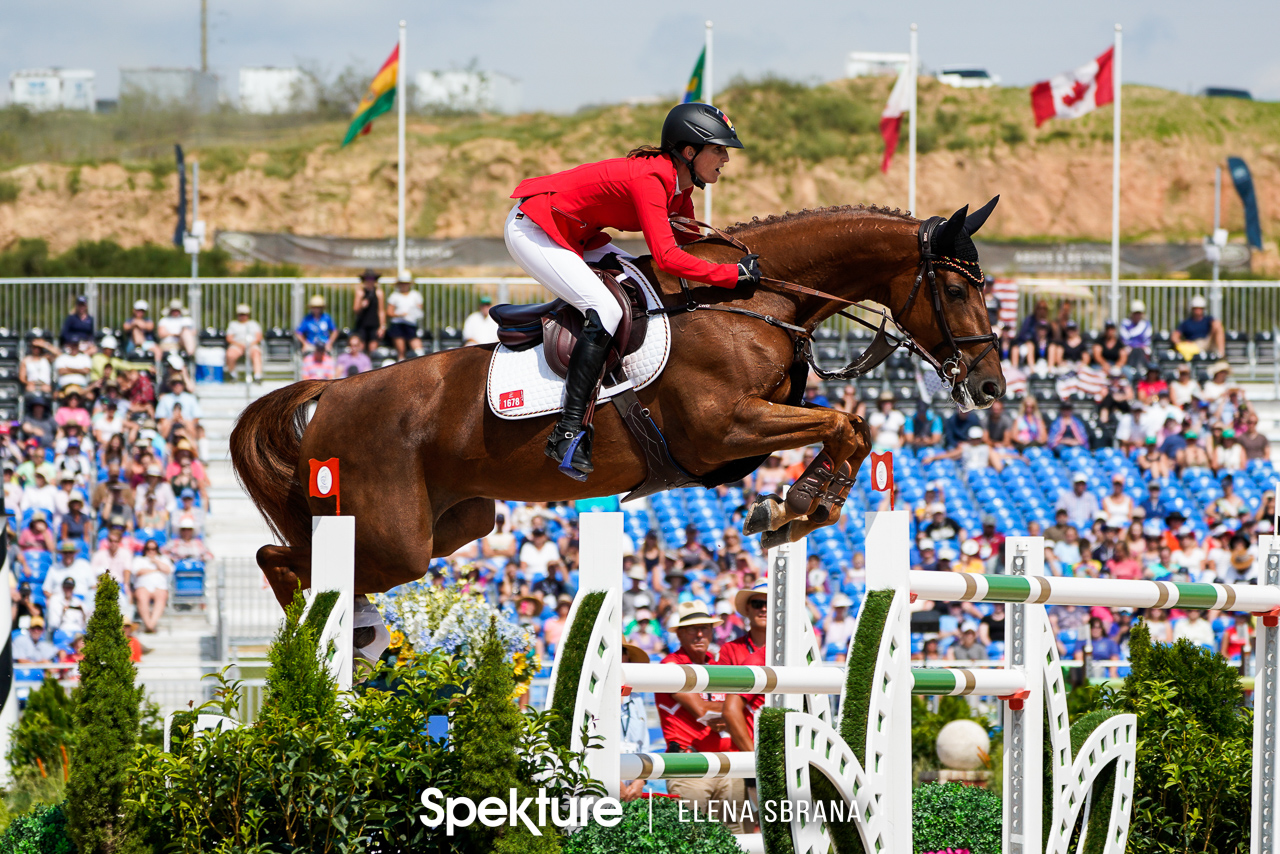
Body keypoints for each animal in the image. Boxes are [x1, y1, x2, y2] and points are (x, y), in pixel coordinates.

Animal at [232, 202, 1008, 606]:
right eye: (957, 289)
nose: (992, 388)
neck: (751, 299)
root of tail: (334, 392)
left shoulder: (740, 438)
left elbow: (852, 425)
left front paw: (801, 508)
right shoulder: (721, 430)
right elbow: (848, 422)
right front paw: (795, 504)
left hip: (451, 524)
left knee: (298, 557)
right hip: (389, 536)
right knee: (286, 559)